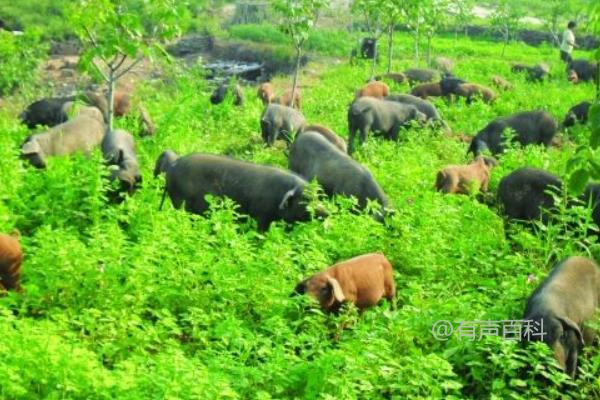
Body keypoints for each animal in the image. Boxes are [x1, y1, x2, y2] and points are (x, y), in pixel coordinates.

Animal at [154, 151, 314, 231]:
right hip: (180, 202)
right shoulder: (261, 216)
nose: (320, 211)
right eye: (306, 199)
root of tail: (174, 164)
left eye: (317, 197)